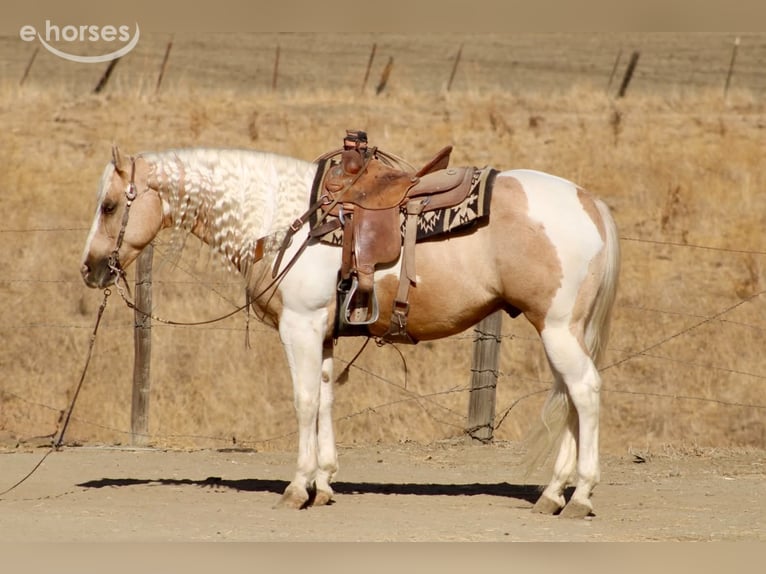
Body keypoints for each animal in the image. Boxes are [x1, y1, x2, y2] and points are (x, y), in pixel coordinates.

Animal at [80, 143, 620, 518]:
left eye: (108, 206)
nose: (89, 269)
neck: (285, 219)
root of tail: (589, 200)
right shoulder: (321, 334)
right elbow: (323, 399)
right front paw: (323, 484)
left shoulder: (299, 327)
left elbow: (303, 402)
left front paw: (297, 487)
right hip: (561, 331)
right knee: (571, 399)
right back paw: (553, 494)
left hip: (557, 329)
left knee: (586, 393)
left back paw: (579, 495)